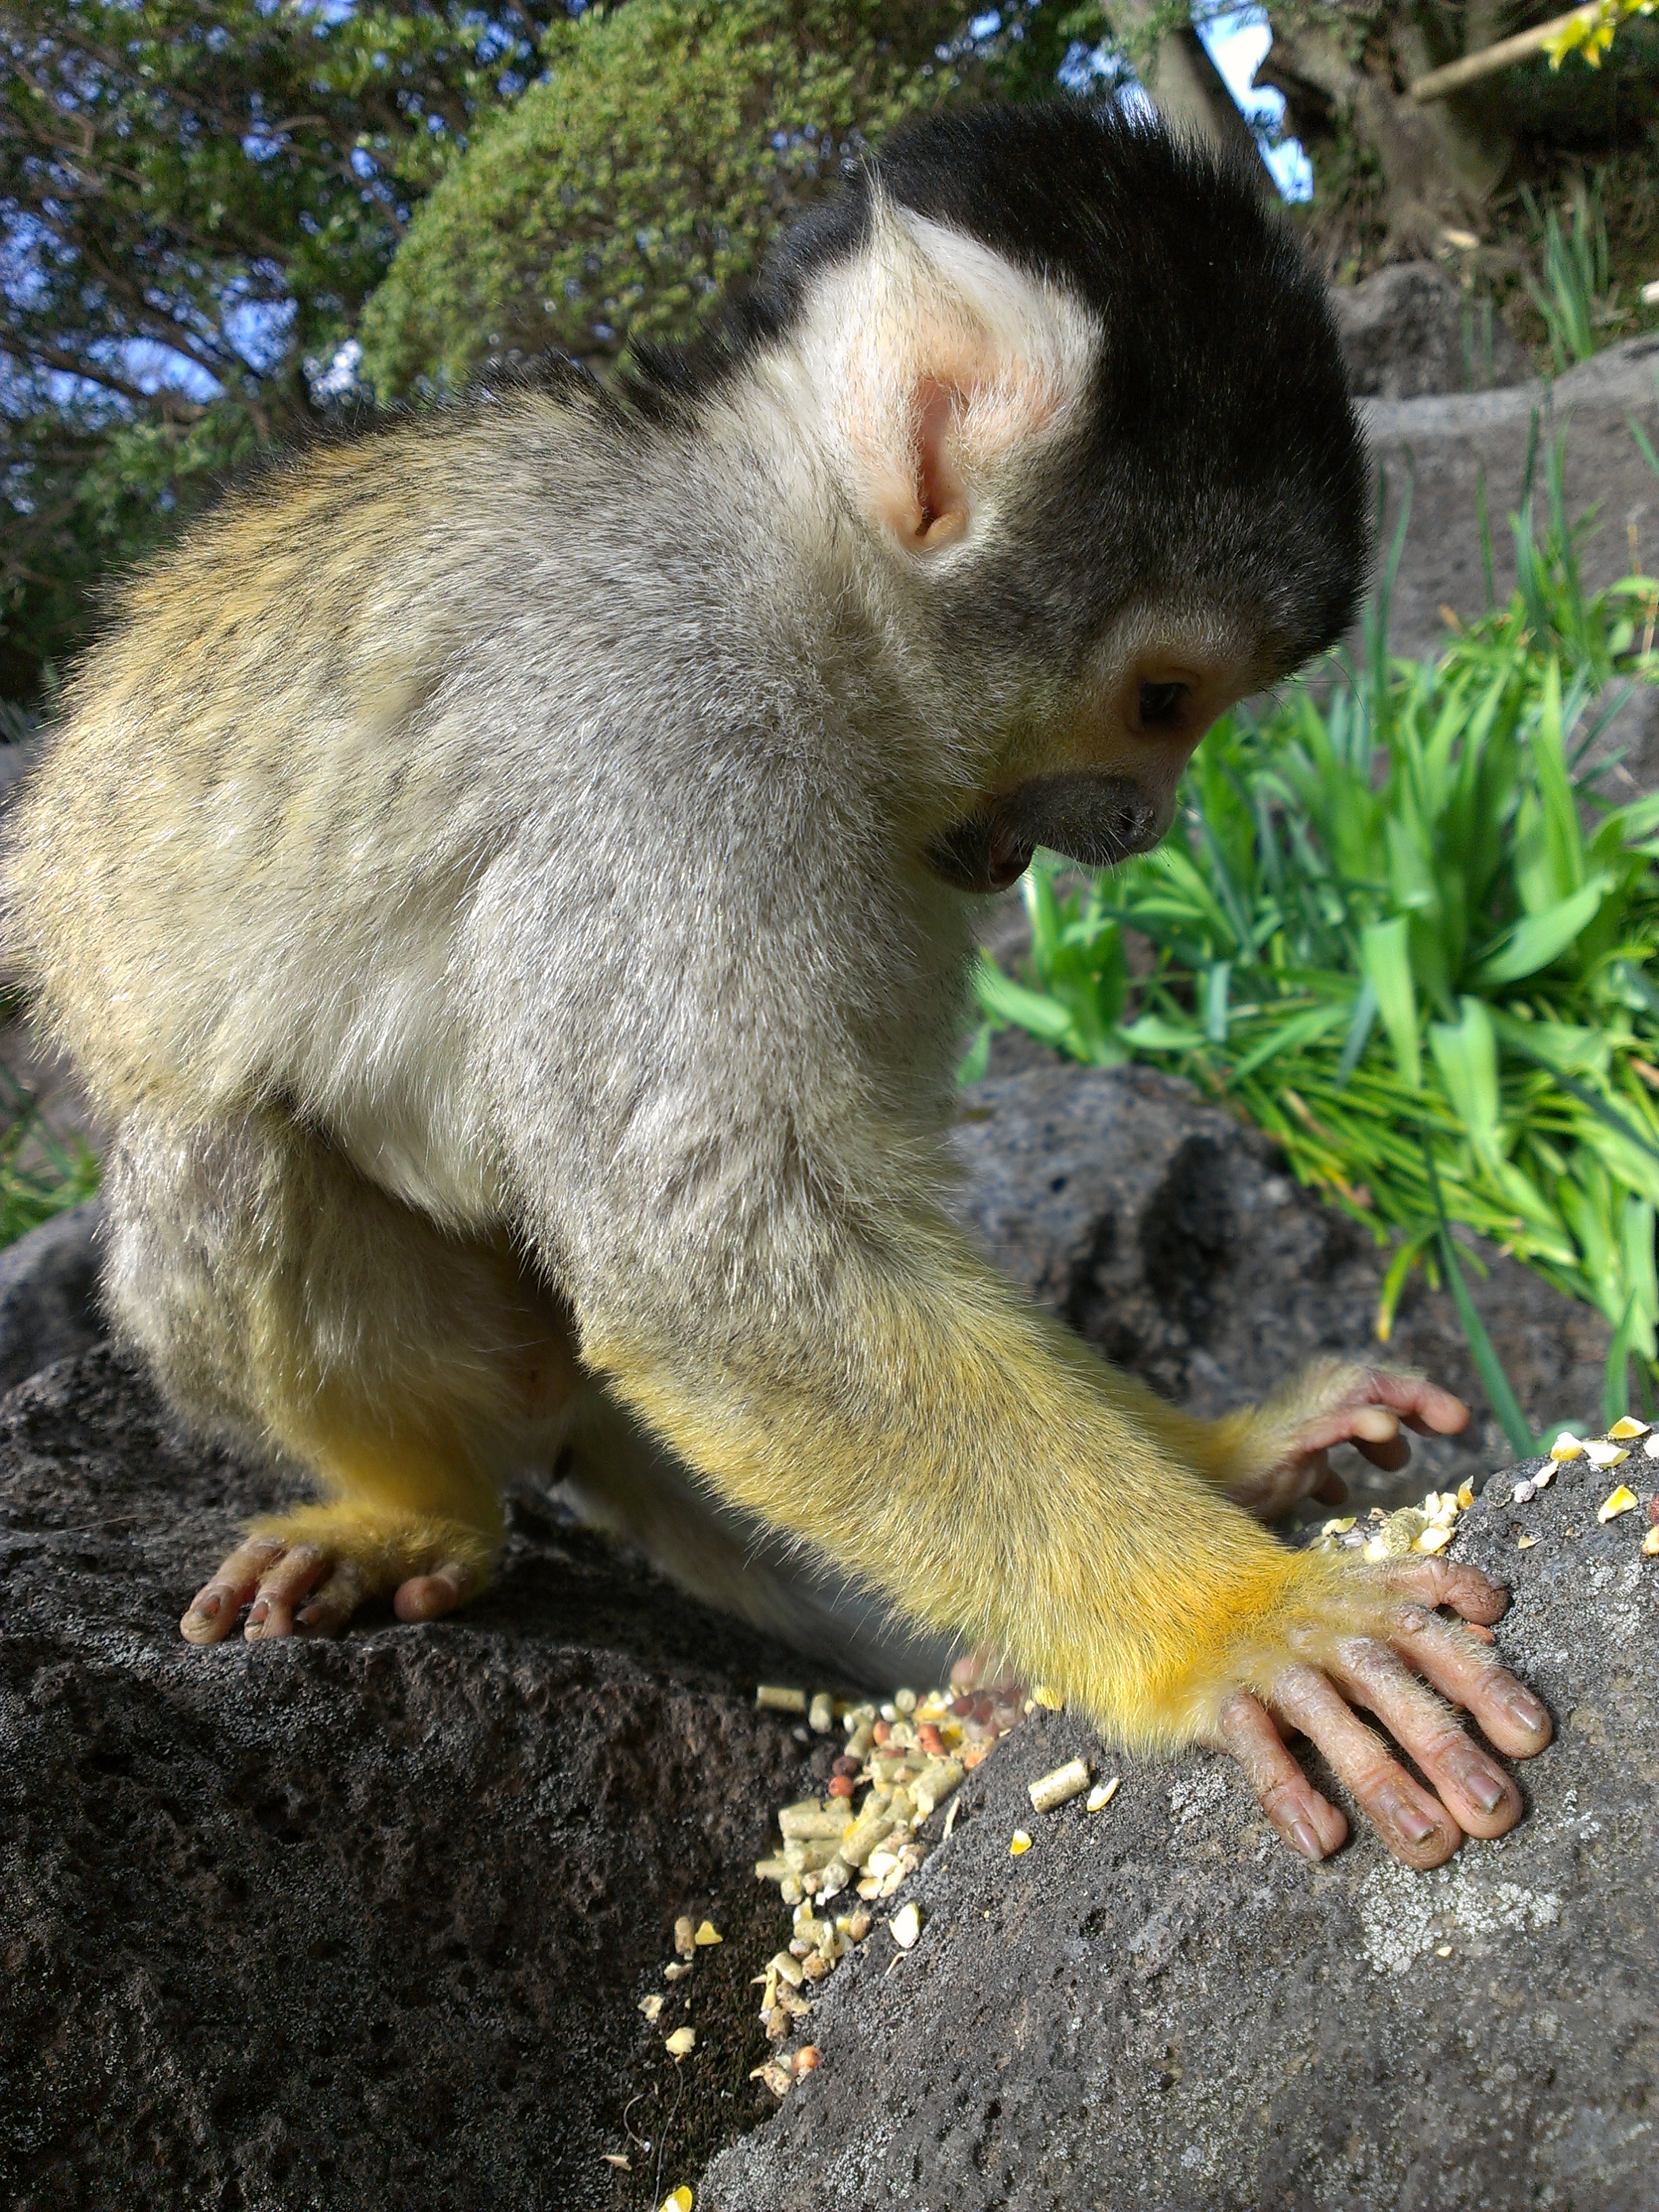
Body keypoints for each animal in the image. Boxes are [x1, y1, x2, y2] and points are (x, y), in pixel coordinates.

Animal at [6, 104, 1557, 1866]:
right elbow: (718, 1252)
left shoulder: (899, 833)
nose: (1138, 826)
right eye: (1163, 700)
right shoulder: (671, 728)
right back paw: (424, 1509)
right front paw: (1239, 1624)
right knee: (215, 1145)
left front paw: (1229, 1459)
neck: (799, 564)